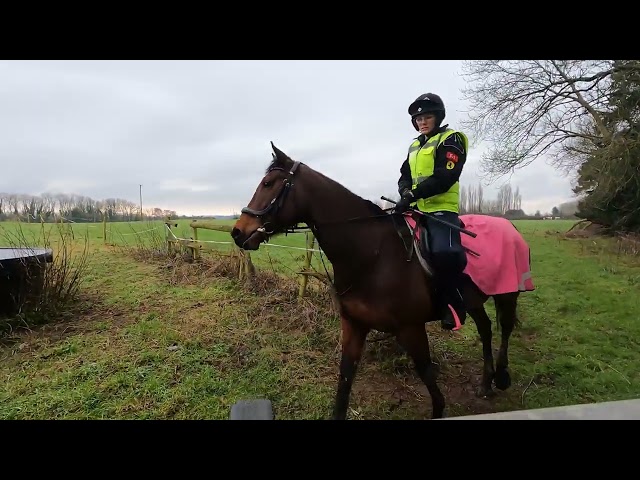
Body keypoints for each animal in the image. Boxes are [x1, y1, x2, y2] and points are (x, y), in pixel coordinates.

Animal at [230, 141, 536, 418]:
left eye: (268, 183)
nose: (237, 231)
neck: (372, 255)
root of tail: (509, 226)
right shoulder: (354, 325)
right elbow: (345, 379)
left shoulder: (411, 329)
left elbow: (427, 375)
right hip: (473, 300)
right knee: (485, 328)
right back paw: (486, 383)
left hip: (507, 294)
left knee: (505, 328)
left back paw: (501, 377)